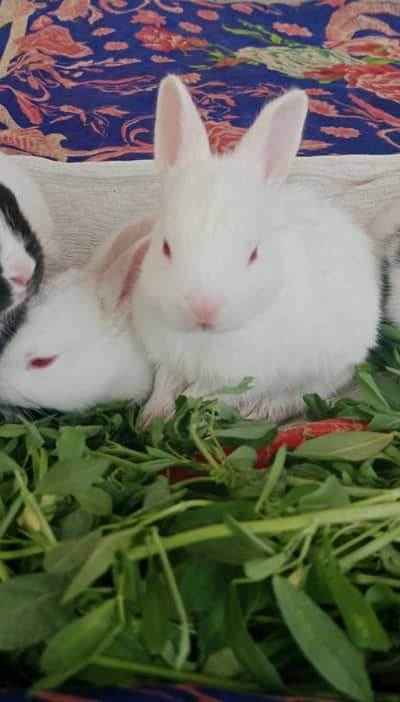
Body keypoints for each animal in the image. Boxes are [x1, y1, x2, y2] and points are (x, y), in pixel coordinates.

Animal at [132, 75, 381, 425]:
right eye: (166, 246)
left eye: (253, 254)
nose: (204, 311)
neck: (203, 337)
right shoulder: (166, 359)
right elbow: (165, 386)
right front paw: (151, 418)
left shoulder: (241, 376)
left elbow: (201, 394)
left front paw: (184, 417)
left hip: (328, 368)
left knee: (300, 395)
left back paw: (258, 414)